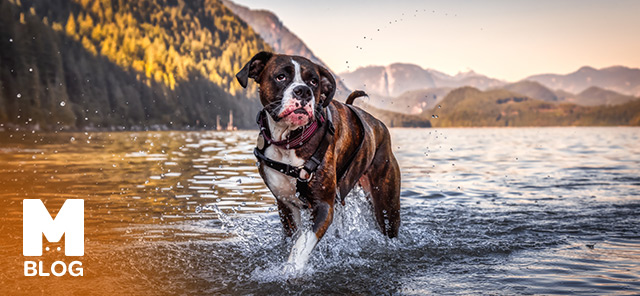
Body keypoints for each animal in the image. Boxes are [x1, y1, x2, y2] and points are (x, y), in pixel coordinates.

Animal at [235, 51, 400, 270]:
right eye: (281, 77)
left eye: (314, 81)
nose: (303, 91)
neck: (290, 141)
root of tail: (378, 124)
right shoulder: (286, 205)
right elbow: (294, 239)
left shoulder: (323, 207)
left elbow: (302, 245)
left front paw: (290, 271)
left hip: (386, 204)